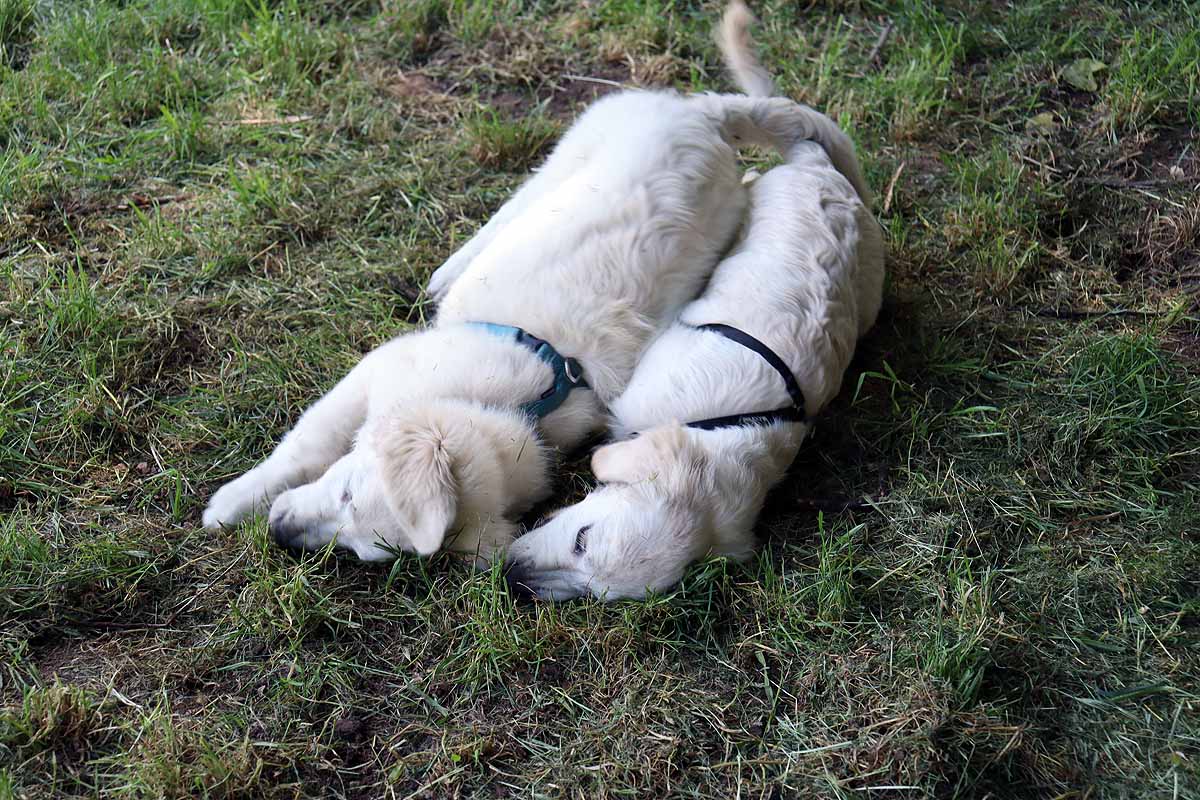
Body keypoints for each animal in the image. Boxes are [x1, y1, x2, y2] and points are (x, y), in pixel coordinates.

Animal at [201, 3, 868, 563]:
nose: (280, 534)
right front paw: (232, 502)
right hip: (574, 149)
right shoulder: (375, 371)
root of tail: (699, 115)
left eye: (364, 549)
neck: (516, 403)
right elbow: (306, 443)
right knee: (512, 206)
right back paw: (449, 271)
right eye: (344, 491)